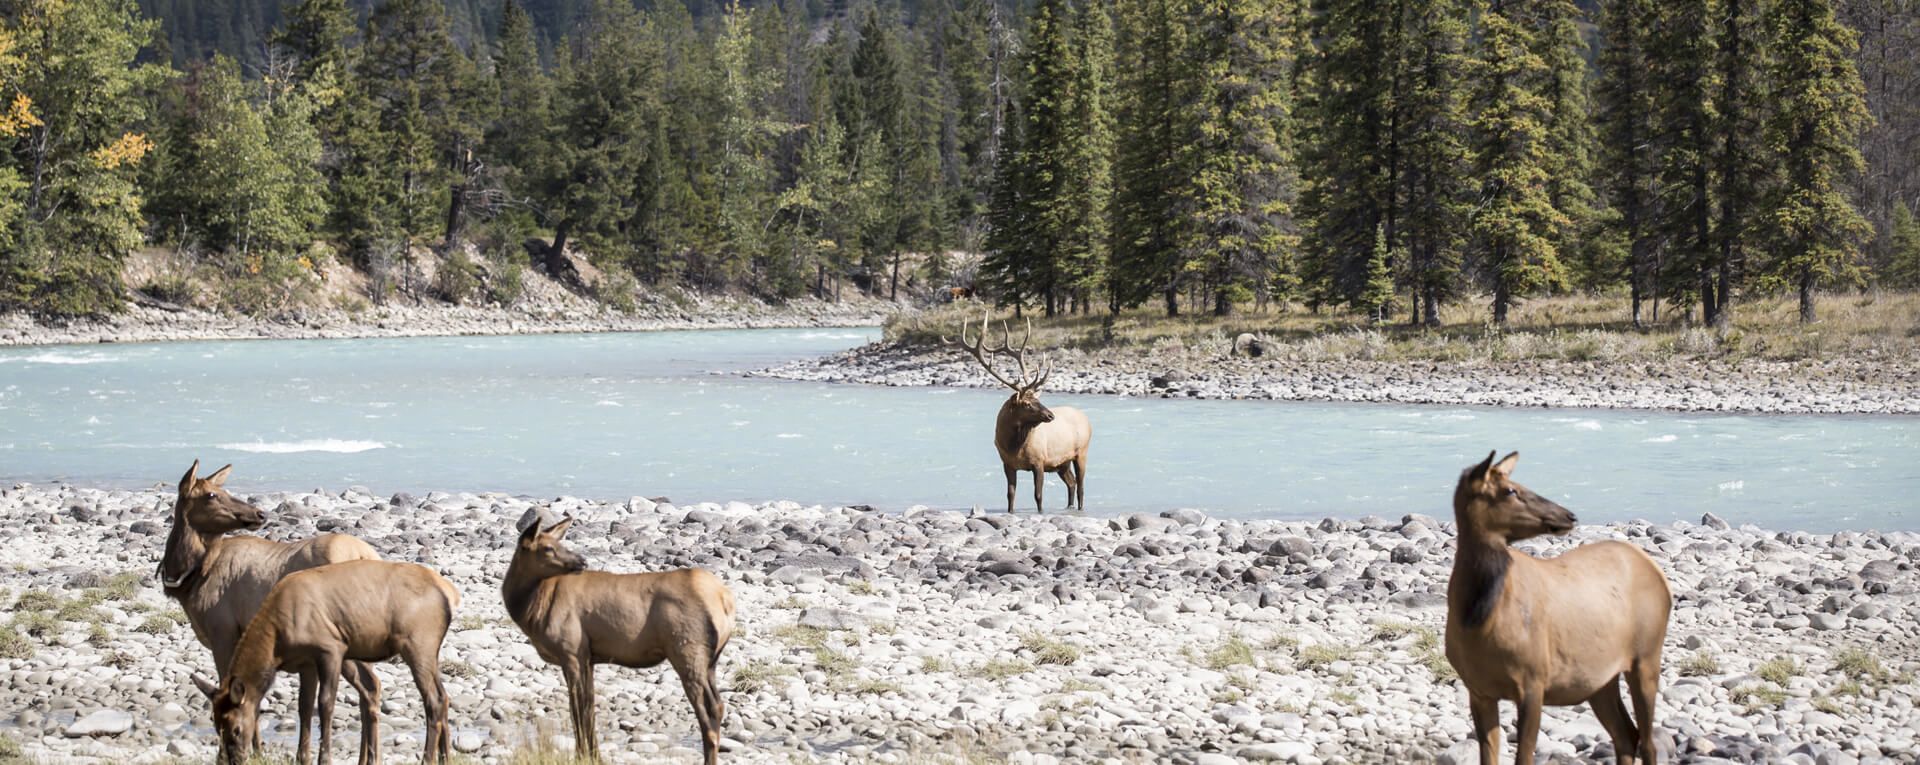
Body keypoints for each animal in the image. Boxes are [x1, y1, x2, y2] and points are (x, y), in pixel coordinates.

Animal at [165, 459, 389, 765]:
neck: (192, 577)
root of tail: (368, 555)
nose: (259, 513)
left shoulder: (223, 633)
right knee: (370, 687)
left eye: (219, 491)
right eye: (211, 494)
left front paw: (252, 750)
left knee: (368, 686)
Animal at [209, 557, 460, 765]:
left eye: (236, 729)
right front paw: (302, 758)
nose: (229, 760)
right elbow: (304, 706)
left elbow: (325, 703)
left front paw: (324, 759)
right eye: (216, 724)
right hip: (426, 652)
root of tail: (449, 594)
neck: (276, 645)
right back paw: (445, 758)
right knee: (443, 696)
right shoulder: (306, 663)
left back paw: (427, 759)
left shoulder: (331, 648)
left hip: (417, 644)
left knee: (433, 699)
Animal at [499, 515, 737, 765]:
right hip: (710, 660)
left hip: (687, 650)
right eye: (547, 547)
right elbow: (589, 707)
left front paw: (582, 756)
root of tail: (725, 600)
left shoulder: (571, 650)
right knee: (719, 705)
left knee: (708, 708)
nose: (582, 561)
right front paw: (594, 755)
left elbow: (577, 708)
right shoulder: (587, 657)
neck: (531, 609)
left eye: (557, 544)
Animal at [948, 311, 1090, 515]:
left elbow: (1038, 496)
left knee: (1081, 487)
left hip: (1081, 453)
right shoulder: (1007, 464)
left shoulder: (1039, 461)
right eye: (1028, 403)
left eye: (1037, 398)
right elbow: (1010, 494)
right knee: (1071, 484)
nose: (1050, 416)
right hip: (1061, 463)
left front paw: (1040, 512)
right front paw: (1011, 512)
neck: (1014, 446)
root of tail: (1085, 418)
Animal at [1443, 451, 1674, 761]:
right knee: (1626, 735)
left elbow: (1524, 756)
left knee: (1648, 741)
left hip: (1646, 656)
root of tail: (1657, 571)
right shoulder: (1478, 689)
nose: (1569, 515)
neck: (1477, 615)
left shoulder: (1533, 680)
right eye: (1510, 490)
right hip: (1600, 679)